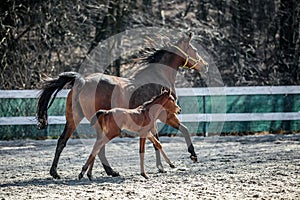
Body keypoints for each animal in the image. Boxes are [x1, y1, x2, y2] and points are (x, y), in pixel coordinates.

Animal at [37, 33, 206, 179]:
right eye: (195, 50)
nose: (205, 66)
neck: (159, 75)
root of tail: (82, 81)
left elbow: (159, 138)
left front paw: (163, 166)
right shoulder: (167, 115)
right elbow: (180, 131)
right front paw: (190, 156)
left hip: (74, 118)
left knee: (63, 141)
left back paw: (55, 173)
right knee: (99, 145)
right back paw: (109, 171)